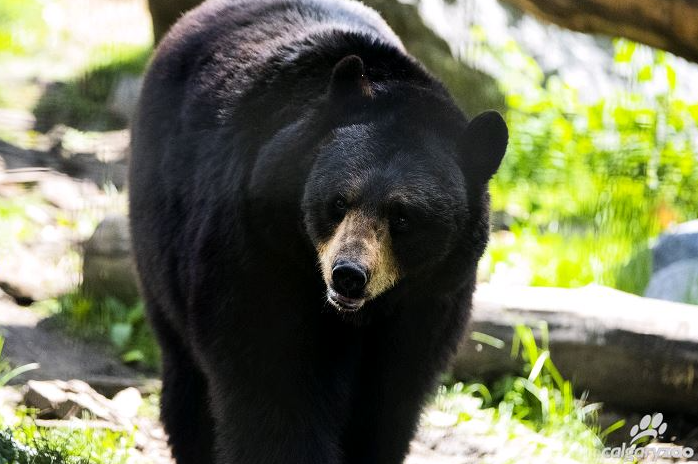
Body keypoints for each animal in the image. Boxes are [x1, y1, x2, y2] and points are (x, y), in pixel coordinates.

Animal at [128, 0, 502, 464]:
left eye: (403, 218)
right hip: (158, 237)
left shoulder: (431, 301)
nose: (349, 275)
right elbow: (273, 383)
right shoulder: (256, 250)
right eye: (338, 202)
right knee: (186, 377)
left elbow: (389, 404)